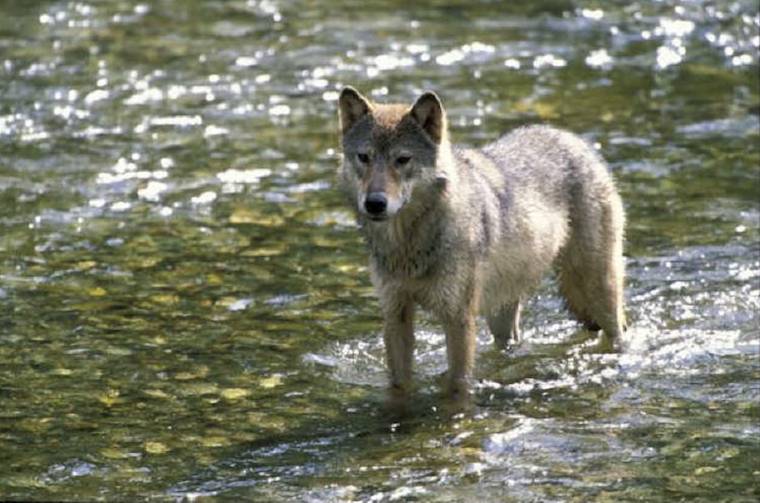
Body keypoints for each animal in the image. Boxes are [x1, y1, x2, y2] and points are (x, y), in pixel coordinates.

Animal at [337, 87, 625, 399]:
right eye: (364, 157)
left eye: (402, 159)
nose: (375, 203)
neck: (409, 245)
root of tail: (576, 141)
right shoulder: (395, 314)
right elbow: (399, 383)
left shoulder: (458, 318)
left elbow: (458, 383)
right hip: (503, 311)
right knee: (510, 343)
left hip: (597, 289)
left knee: (619, 330)